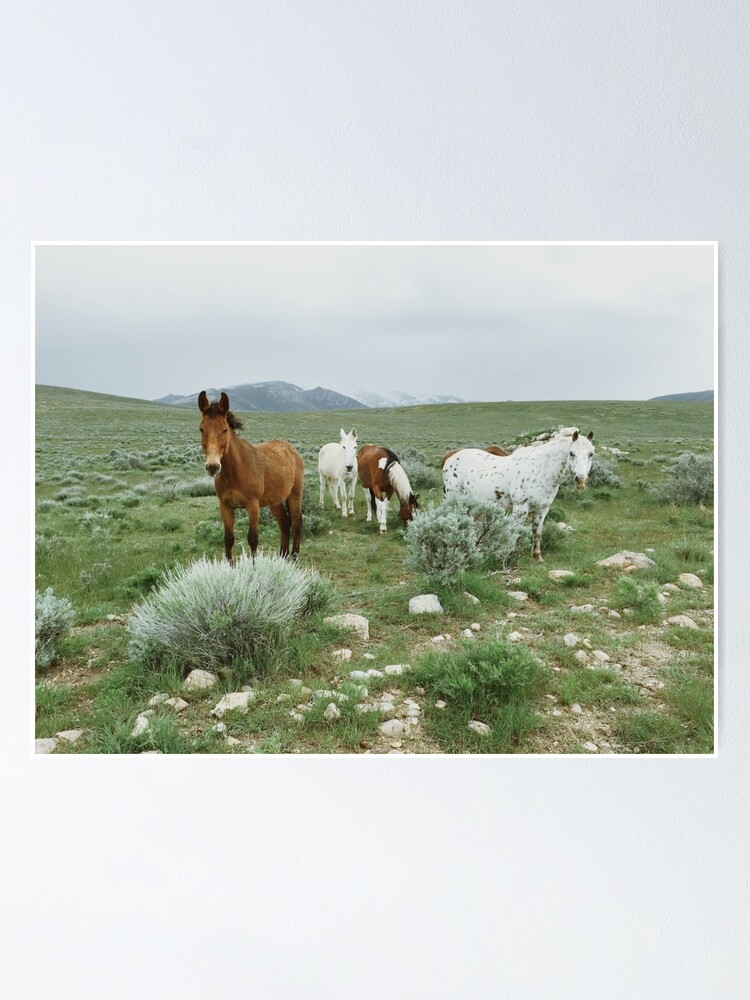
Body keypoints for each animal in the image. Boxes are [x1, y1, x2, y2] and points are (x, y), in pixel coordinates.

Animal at [201, 390, 306, 564]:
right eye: (201, 429)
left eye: (224, 429)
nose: (213, 466)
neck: (234, 472)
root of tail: (292, 449)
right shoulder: (225, 506)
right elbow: (228, 539)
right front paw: (230, 567)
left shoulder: (253, 506)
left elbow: (253, 539)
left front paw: (255, 567)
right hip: (275, 502)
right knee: (285, 523)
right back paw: (282, 557)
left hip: (294, 495)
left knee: (297, 524)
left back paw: (294, 556)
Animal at [444, 430, 596, 564]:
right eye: (571, 453)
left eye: (591, 454)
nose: (581, 480)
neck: (541, 470)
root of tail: (450, 457)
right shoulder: (520, 508)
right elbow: (515, 531)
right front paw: (509, 556)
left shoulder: (542, 510)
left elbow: (537, 533)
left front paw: (537, 557)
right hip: (452, 496)